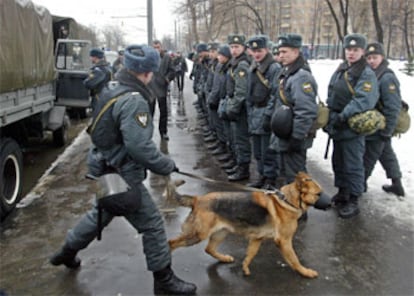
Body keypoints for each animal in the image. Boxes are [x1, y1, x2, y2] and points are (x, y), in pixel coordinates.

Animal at [168, 171, 324, 278]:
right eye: (319, 194)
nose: (329, 204)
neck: (287, 200)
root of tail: (197, 199)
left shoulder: (256, 239)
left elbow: (250, 255)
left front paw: (245, 268)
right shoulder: (284, 241)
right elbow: (295, 260)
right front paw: (306, 272)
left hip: (221, 233)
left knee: (209, 249)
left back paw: (224, 258)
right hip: (197, 235)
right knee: (172, 243)